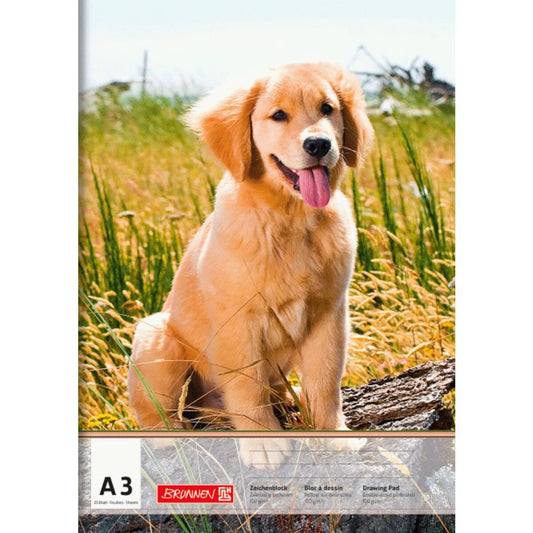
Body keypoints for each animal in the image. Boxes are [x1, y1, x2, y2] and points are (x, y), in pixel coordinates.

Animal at [128, 62, 373, 467]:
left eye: (327, 109)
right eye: (278, 115)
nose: (319, 144)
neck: (290, 219)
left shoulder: (330, 313)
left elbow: (326, 381)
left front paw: (332, 435)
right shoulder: (238, 321)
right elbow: (247, 384)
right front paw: (263, 443)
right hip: (157, 337)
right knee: (155, 408)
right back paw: (168, 434)